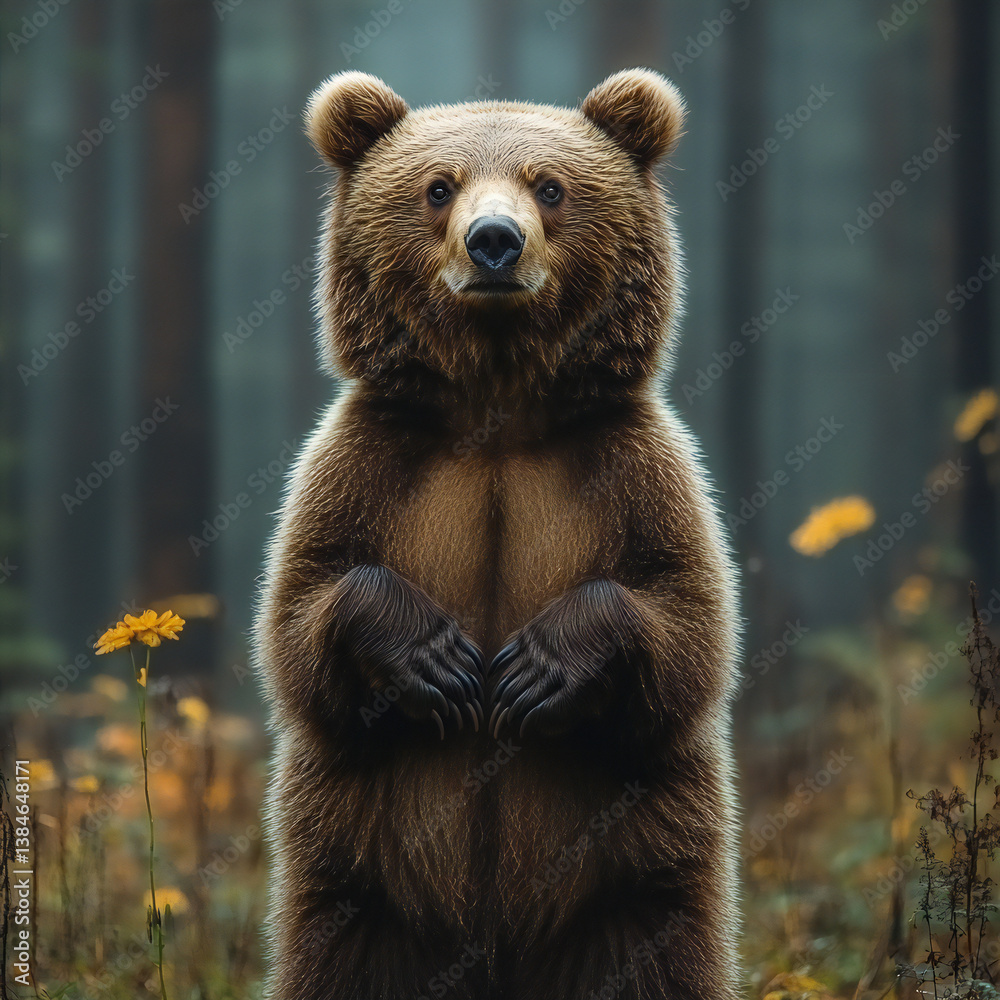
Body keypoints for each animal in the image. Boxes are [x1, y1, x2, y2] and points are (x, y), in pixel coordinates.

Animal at [255, 68, 742, 1000]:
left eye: (549, 186)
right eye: (437, 187)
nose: (493, 244)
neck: (498, 409)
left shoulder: (634, 465)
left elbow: (686, 626)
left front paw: (533, 670)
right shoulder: (368, 461)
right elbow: (303, 615)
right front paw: (437, 660)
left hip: (637, 871)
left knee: (662, 955)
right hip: (356, 873)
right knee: (336, 957)